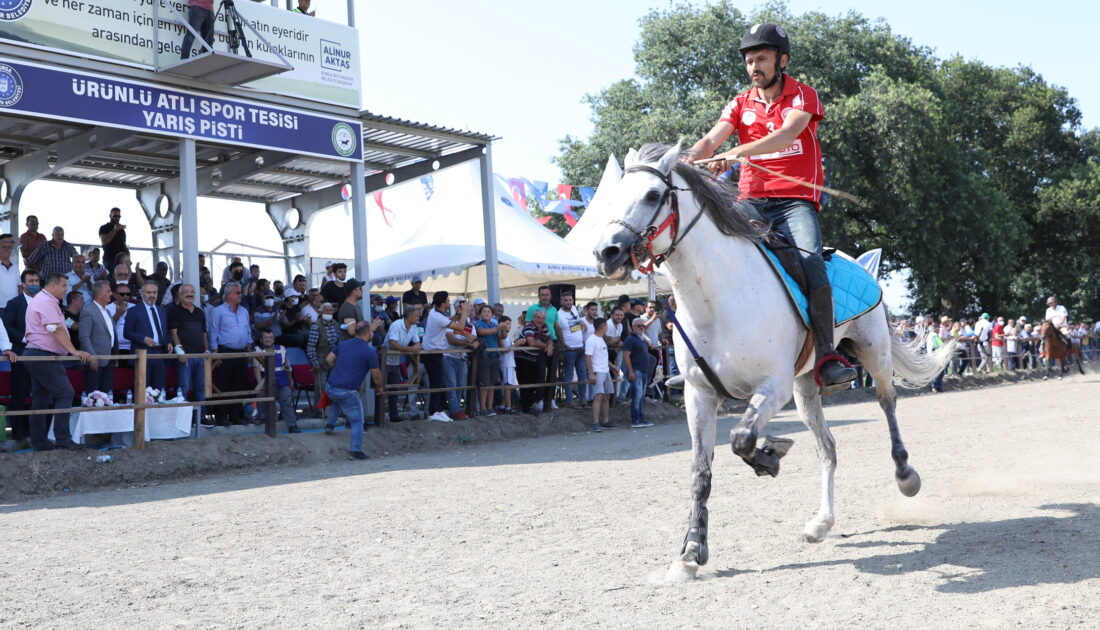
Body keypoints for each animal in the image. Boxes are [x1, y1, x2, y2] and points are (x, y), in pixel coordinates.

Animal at [594, 142, 954, 580]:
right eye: (614, 196)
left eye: (651, 195)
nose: (606, 252)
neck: (718, 299)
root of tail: (858, 261)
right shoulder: (700, 396)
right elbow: (701, 472)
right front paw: (691, 553)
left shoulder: (771, 387)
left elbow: (741, 438)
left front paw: (770, 456)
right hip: (805, 388)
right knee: (827, 448)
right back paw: (821, 523)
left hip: (873, 354)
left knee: (888, 403)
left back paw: (905, 475)